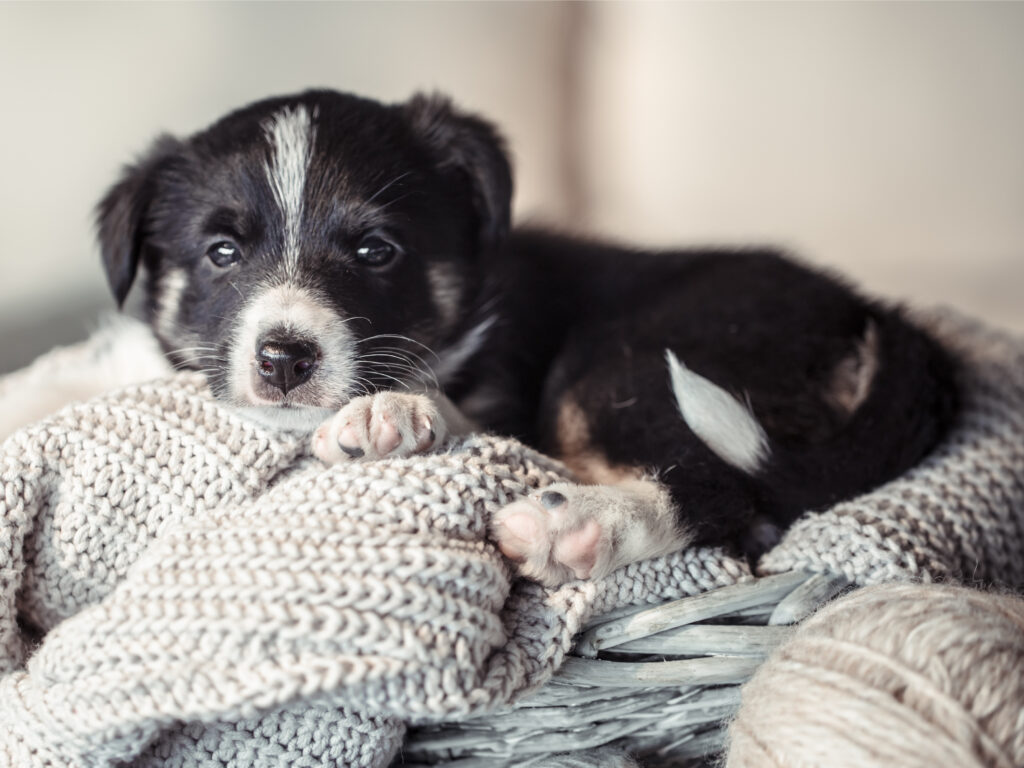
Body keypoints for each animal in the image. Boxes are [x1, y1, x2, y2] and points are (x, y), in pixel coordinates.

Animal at [86, 91, 950, 589]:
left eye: (375, 250)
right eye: (221, 252)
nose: (284, 358)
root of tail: (871, 310)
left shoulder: (513, 388)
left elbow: (471, 415)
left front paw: (390, 414)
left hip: (627, 358)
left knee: (723, 492)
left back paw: (572, 525)